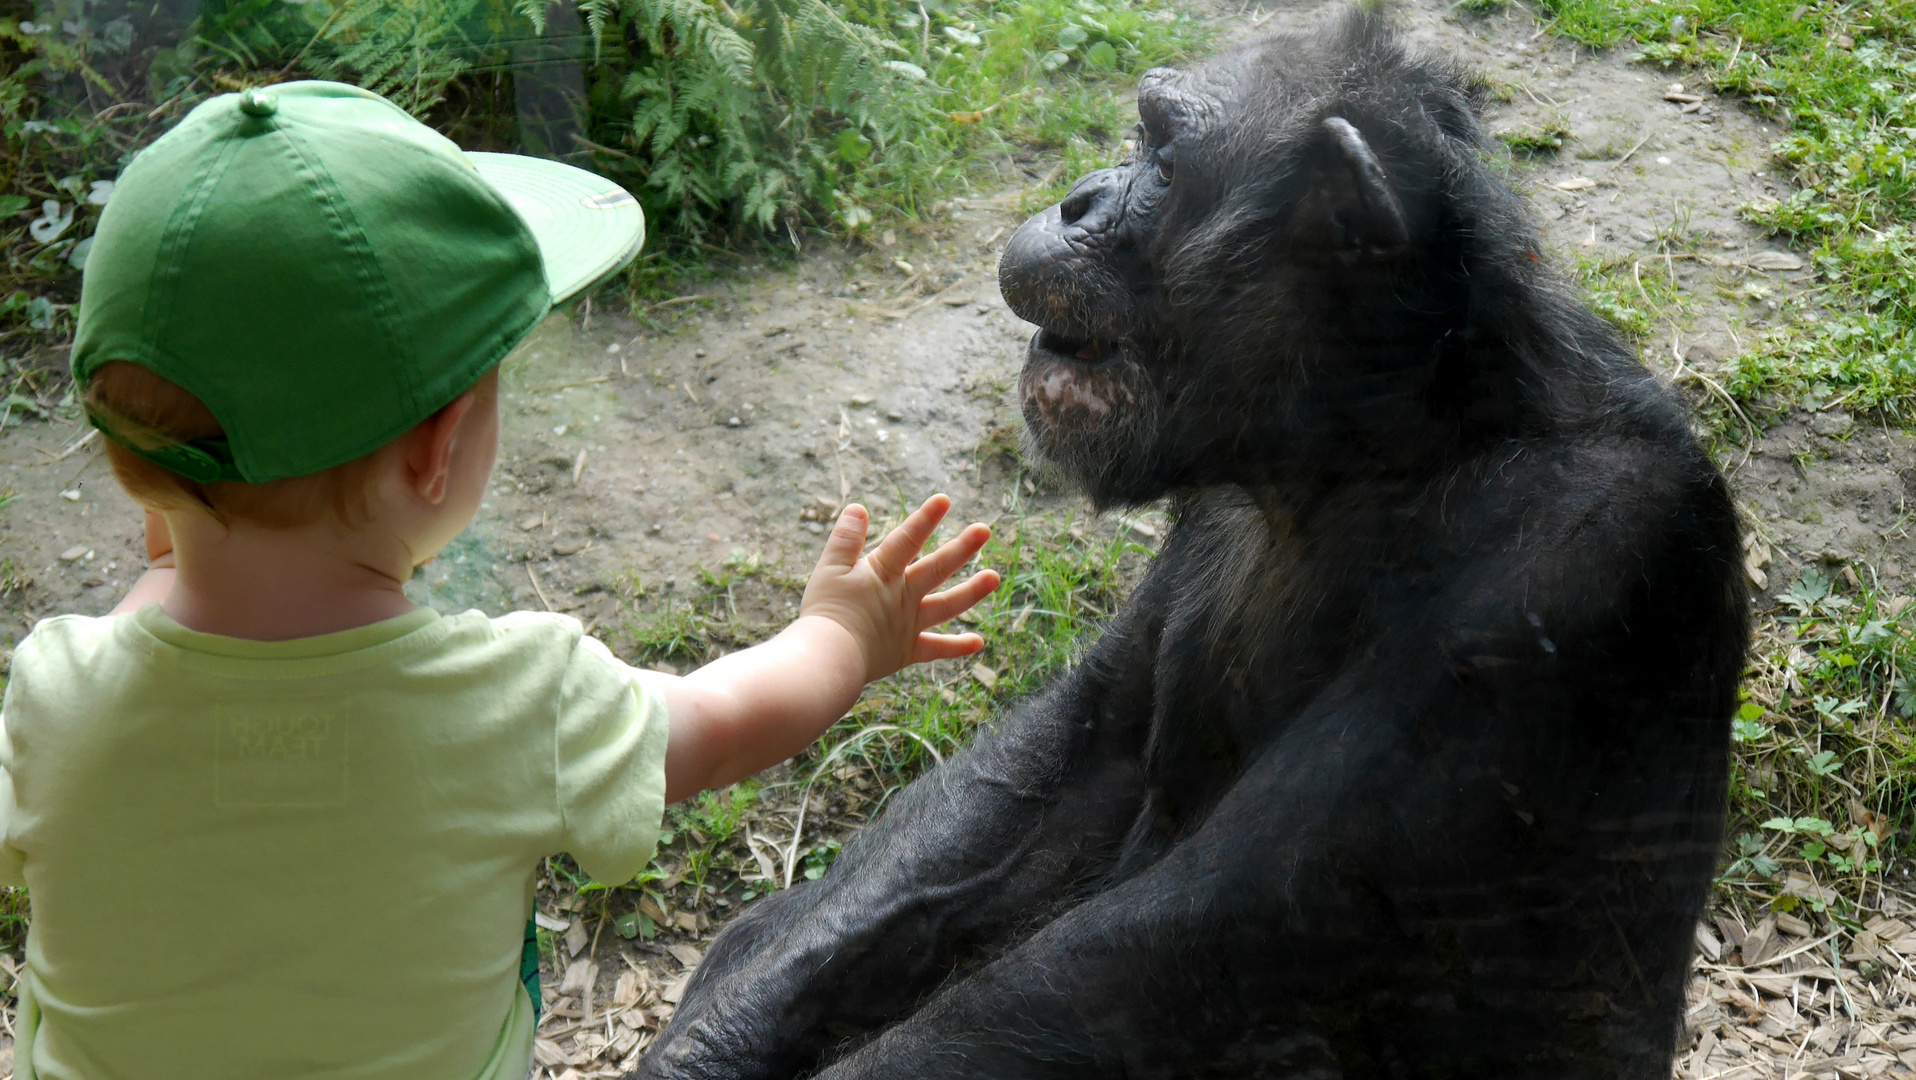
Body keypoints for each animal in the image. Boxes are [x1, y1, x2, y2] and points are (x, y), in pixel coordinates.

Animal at [636, 10, 1747, 1080]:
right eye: (1140, 138)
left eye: (1166, 163)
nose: (1079, 197)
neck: (1368, 449)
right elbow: (1072, 755)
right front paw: (709, 1043)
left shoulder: (1567, 567)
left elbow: (1216, 918)